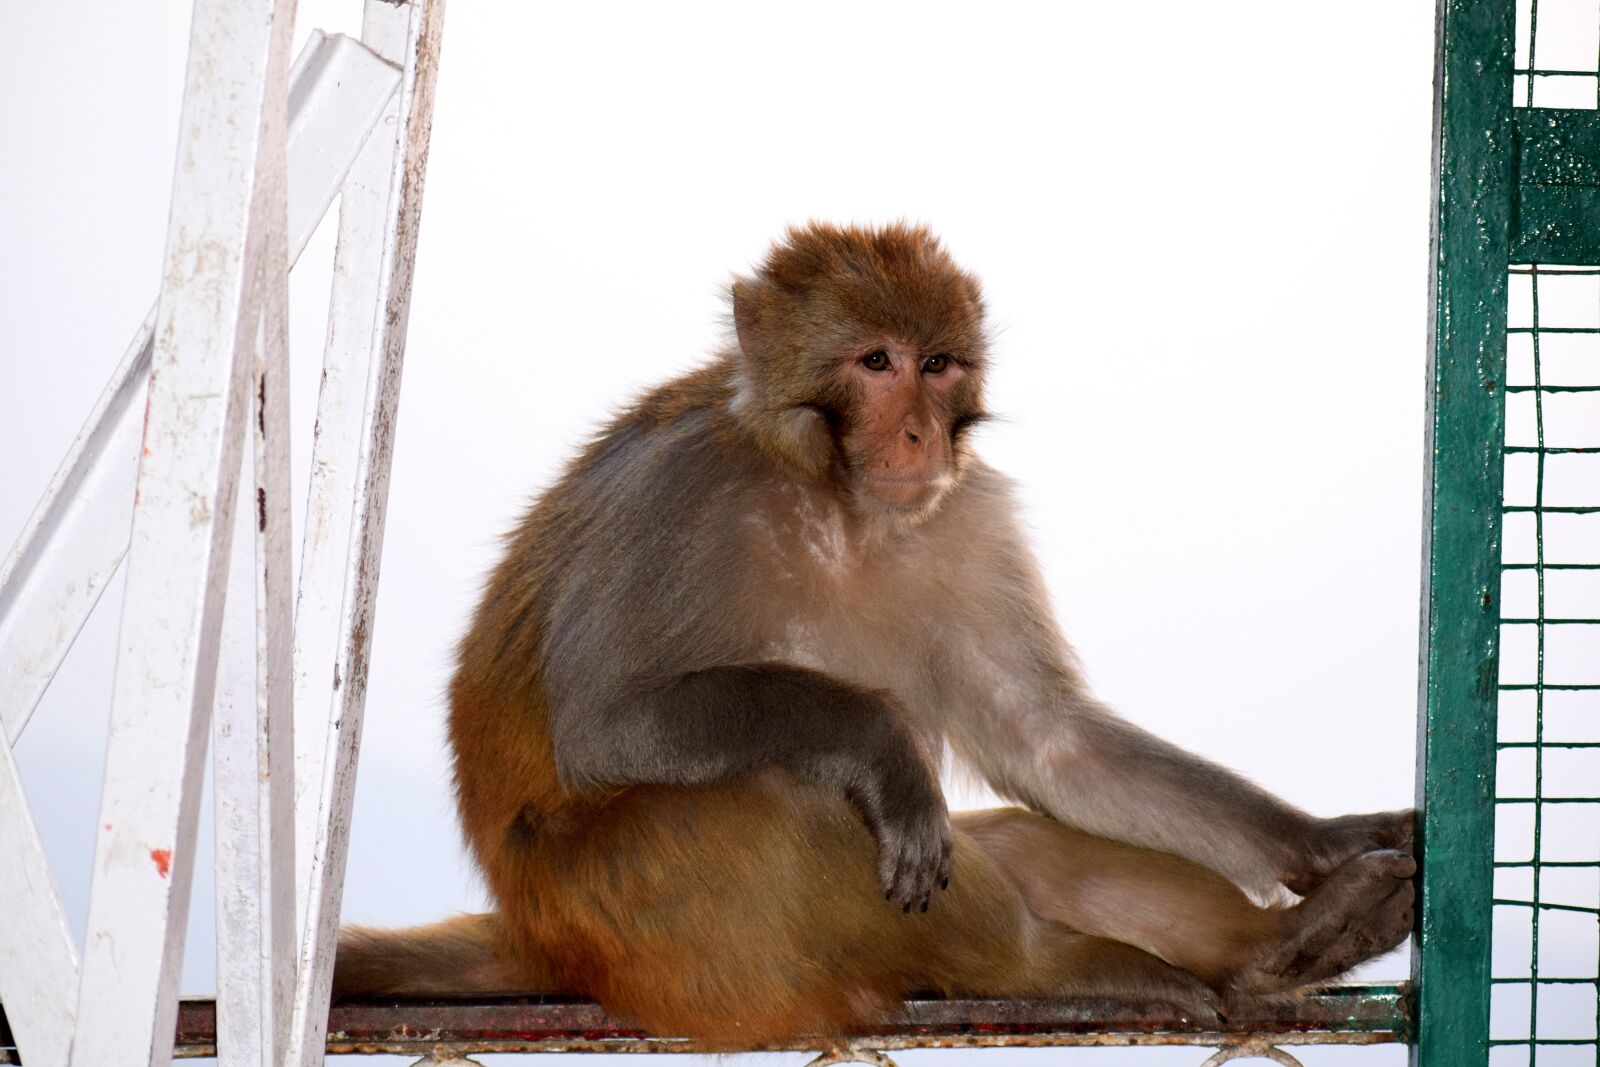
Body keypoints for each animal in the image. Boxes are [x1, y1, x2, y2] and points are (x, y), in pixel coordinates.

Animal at [334, 222, 1416, 1045]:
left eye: (937, 366)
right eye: (875, 362)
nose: (918, 434)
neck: (837, 500)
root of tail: (539, 933)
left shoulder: (965, 516)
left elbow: (1049, 743)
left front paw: (1318, 841)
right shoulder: (679, 494)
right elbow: (607, 722)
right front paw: (882, 740)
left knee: (1020, 840)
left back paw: (1283, 945)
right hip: (652, 930)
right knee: (785, 799)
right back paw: (1051, 963)